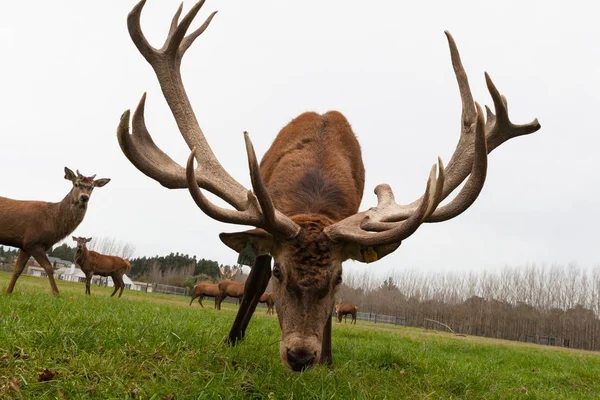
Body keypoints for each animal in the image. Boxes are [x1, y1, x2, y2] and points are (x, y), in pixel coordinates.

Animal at [0, 167, 110, 296]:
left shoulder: (25, 245)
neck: (53, 221)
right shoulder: (33, 242)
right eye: (76, 184)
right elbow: (49, 267)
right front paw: (57, 294)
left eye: (92, 187)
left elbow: (18, 269)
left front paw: (8, 292)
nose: (84, 197)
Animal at [117, 0, 540, 372]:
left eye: (338, 278)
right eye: (281, 273)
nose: (300, 356)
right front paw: (232, 341)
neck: (314, 198)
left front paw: (329, 361)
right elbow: (253, 283)